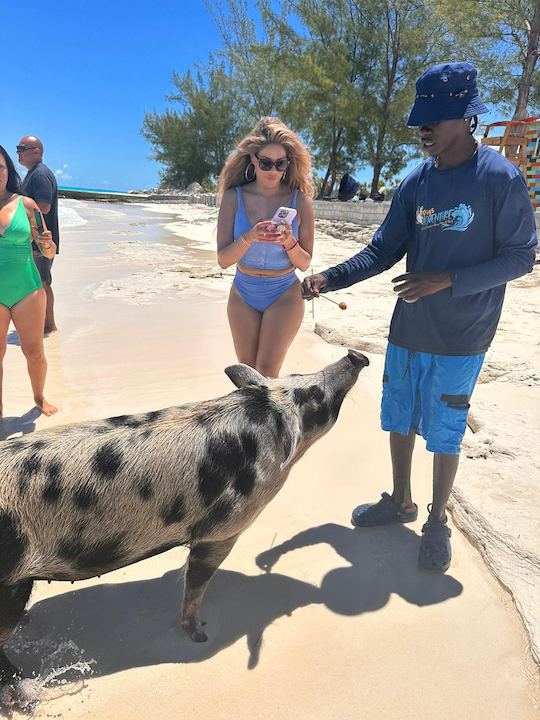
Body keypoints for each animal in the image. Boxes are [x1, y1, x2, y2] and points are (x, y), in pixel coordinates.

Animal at [0, 350, 368, 708]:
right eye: (314, 396)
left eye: (296, 374)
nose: (355, 355)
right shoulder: (222, 530)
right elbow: (197, 582)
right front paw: (199, 634)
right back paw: (30, 698)